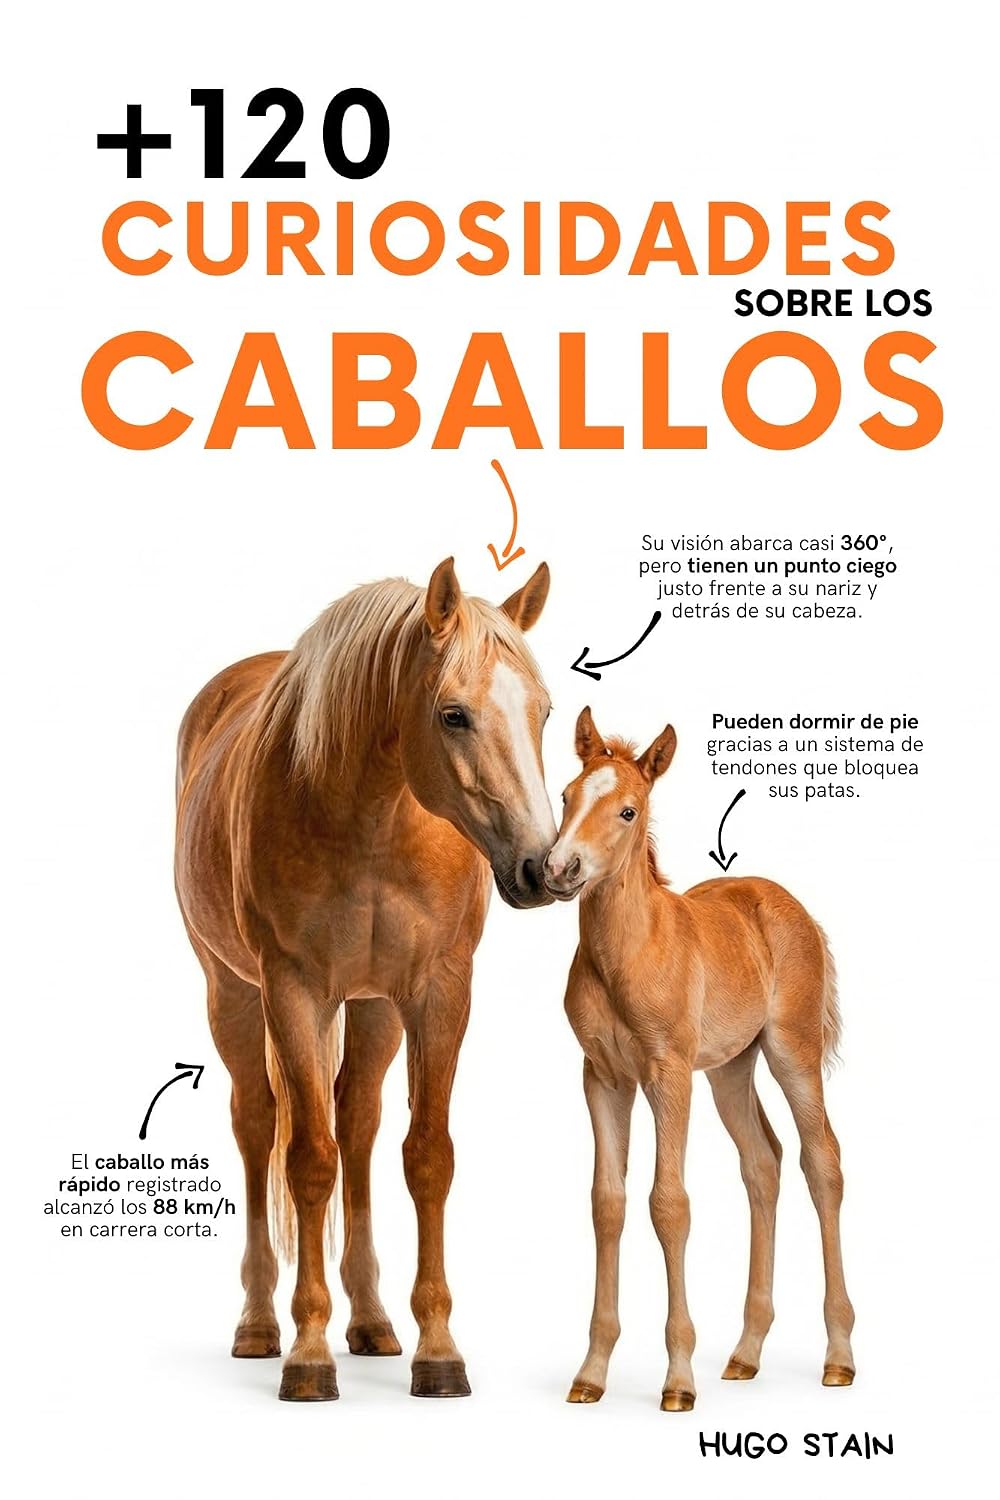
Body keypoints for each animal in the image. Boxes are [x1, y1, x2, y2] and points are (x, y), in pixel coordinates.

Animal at [174, 557, 556, 1401]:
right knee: (260, 1126)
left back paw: (375, 1321)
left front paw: (438, 1350)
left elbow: (426, 1156)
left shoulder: (438, 993)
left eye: (544, 714)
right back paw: (261, 1324)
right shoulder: (293, 992)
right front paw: (308, 1354)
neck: (373, 817)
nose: (543, 867)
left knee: (357, 1122)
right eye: (454, 715)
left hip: (374, 1008)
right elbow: (307, 1161)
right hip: (235, 995)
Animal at [543, 708, 855, 1411]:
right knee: (763, 1162)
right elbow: (608, 1203)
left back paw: (839, 1356)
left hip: (790, 1052)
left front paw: (679, 1380)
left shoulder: (668, 1074)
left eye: (628, 810)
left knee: (821, 1160)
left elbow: (669, 1204)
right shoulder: (602, 1078)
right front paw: (591, 1372)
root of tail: (796, 908)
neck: (626, 953)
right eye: (567, 796)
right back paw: (745, 1353)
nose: (560, 868)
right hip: (730, 1070)